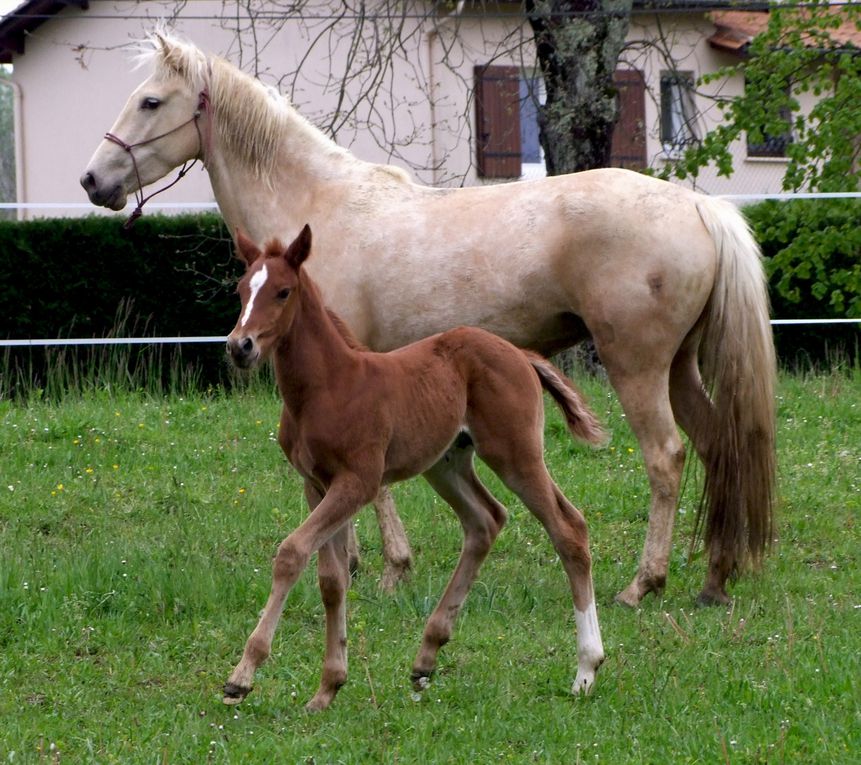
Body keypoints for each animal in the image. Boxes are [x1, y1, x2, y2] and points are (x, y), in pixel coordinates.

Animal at [225, 225, 608, 712]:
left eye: (282, 291)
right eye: (241, 290)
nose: (240, 346)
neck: (328, 386)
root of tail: (521, 354)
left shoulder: (358, 482)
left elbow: (291, 553)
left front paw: (243, 675)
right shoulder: (316, 485)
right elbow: (332, 580)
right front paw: (328, 688)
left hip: (516, 454)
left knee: (568, 528)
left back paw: (586, 670)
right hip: (446, 463)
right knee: (486, 520)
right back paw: (426, 655)